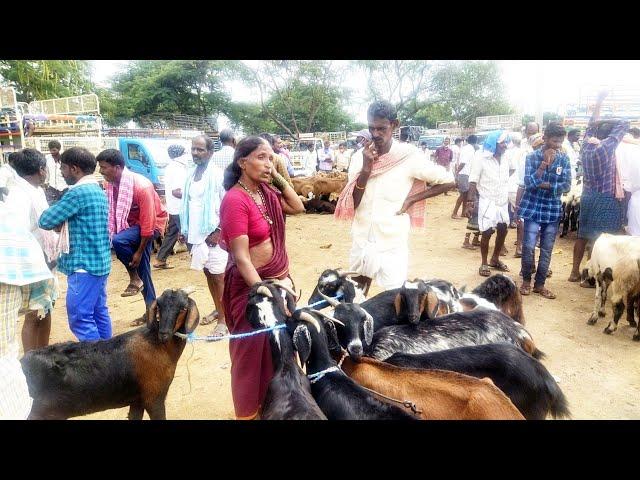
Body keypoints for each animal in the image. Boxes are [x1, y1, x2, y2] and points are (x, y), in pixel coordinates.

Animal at [21, 288, 198, 420]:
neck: (157, 345)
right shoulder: (153, 398)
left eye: (183, 308)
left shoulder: (137, 400)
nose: (164, 334)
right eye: (159, 307)